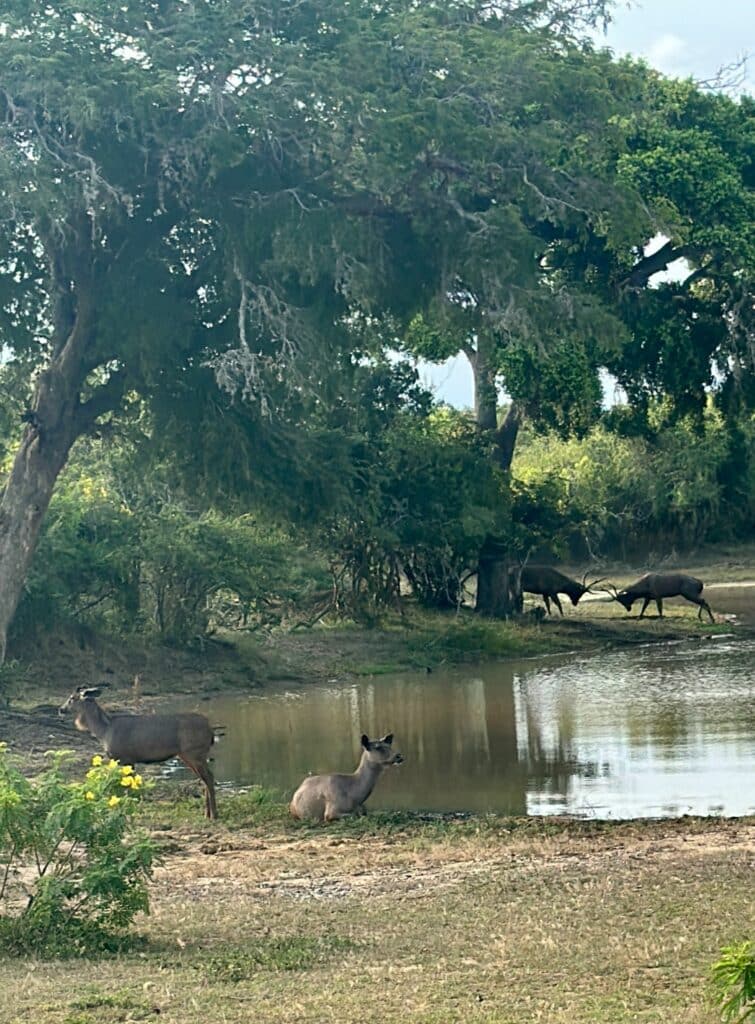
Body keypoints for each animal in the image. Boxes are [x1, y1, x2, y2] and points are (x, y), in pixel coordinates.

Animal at [59, 684, 218, 819]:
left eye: (72, 698)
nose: (60, 709)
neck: (104, 731)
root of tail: (211, 731)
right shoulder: (127, 759)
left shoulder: (125, 757)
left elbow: (128, 785)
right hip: (189, 755)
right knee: (205, 779)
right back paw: (207, 813)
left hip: (194, 752)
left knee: (209, 777)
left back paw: (213, 814)